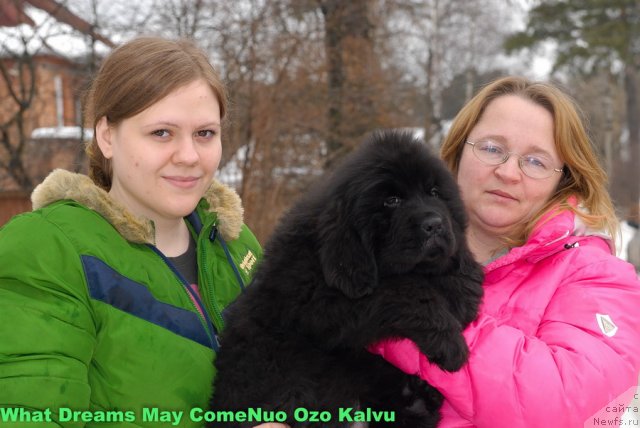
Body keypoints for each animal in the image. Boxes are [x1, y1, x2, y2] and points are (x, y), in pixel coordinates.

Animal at [212, 131, 482, 428]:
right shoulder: (323, 300)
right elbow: (405, 288)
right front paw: (450, 342)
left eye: (434, 192)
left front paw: (463, 290)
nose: (434, 224)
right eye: (392, 200)